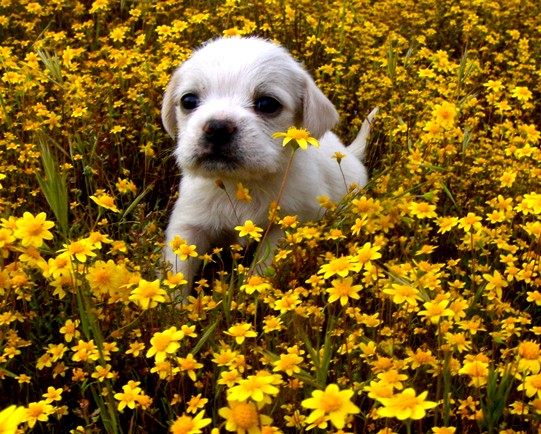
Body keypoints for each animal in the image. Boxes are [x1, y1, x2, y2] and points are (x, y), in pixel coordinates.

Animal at [161, 37, 376, 296]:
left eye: (267, 104)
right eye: (188, 101)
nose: (217, 127)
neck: (239, 184)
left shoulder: (285, 225)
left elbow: (265, 265)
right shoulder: (187, 225)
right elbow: (178, 271)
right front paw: (174, 304)